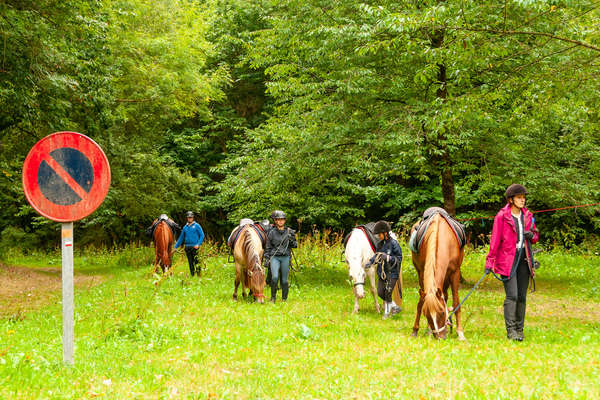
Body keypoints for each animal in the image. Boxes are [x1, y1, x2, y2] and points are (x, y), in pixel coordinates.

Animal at [408, 208, 468, 340]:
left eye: (441, 312)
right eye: (426, 314)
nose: (440, 337)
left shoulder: (455, 273)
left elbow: (456, 302)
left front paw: (460, 332)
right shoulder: (422, 272)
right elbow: (421, 302)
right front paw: (418, 330)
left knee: (445, 295)